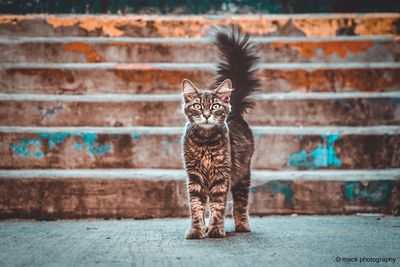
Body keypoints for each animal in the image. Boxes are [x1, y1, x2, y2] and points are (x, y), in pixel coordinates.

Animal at [181, 24, 260, 240]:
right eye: (198, 106)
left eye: (215, 106)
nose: (207, 115)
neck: (205, 142)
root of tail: (235, 113)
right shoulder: (194, 178)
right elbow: (196, 207)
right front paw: (197, 230)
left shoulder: (222, 177)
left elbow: (218, 207)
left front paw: (216, 230)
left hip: (243, 174)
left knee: (240, 203)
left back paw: (242, 226)